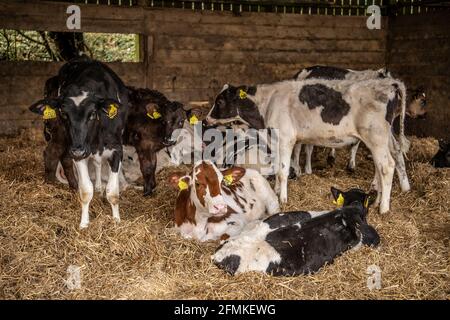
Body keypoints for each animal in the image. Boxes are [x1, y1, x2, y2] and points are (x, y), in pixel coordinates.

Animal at [28, 57, 128, 228]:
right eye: (63, 113)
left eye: (93, 113)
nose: (78, 150)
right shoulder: (77, 151)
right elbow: (86, 191)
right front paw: (84, 223)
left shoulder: (116, 150)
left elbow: (113, 192)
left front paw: (116, 220)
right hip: (62, 135)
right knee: (56, 155)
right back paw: (58, 186)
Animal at [207, 78, 412, 214]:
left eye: (220, 101)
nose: (207, 119)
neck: (268, 104)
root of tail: (390, 84)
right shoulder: (276, 140)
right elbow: (278, 167)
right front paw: (276, 191)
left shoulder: (286, 138)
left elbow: (283, 171)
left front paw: (283, 199)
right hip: (383, 139)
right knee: (384, 163)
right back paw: (377, 201)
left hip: (375, 136)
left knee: (387, 166)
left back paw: (384, 208)